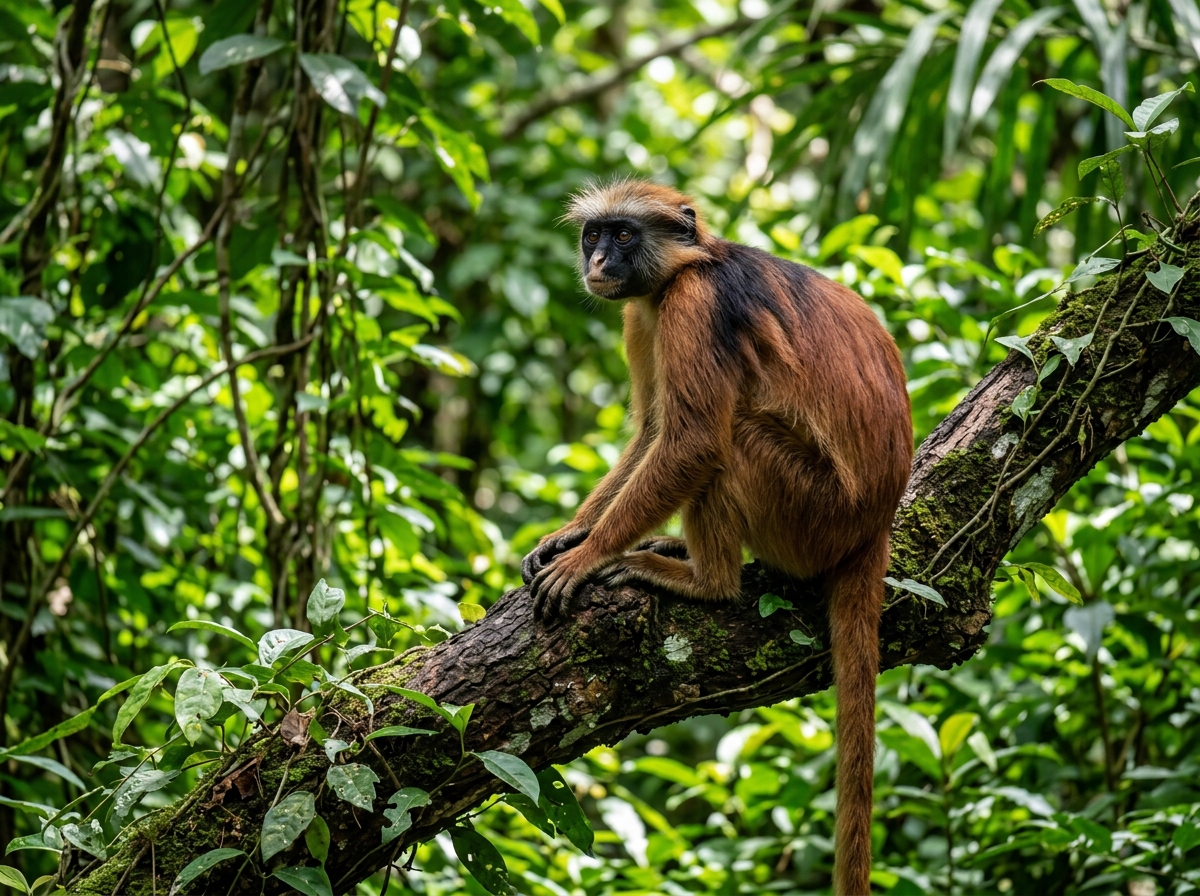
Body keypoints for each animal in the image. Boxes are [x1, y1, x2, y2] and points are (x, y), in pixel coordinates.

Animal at [520, 179, 912, 895]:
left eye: (623, 235)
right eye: (594, 235)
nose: (598, 262)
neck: (691, 264)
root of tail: (874, 522)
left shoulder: (692, 305)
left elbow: (692, 441)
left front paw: (588, 555)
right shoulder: (642, 312)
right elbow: (653, 429)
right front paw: (571, 534)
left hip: (811, 510)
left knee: (729, 440)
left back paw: (706, 582)